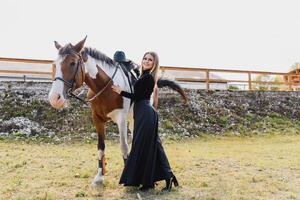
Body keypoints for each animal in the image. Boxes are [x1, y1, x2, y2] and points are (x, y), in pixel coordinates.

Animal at [47, 37, 186, 186]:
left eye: (72, 63)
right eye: (54, 64)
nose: (55, 98)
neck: (106, 87)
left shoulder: (121, 119)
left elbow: (124, 146)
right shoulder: (97, 119)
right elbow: (100, 147)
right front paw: (100, 176)